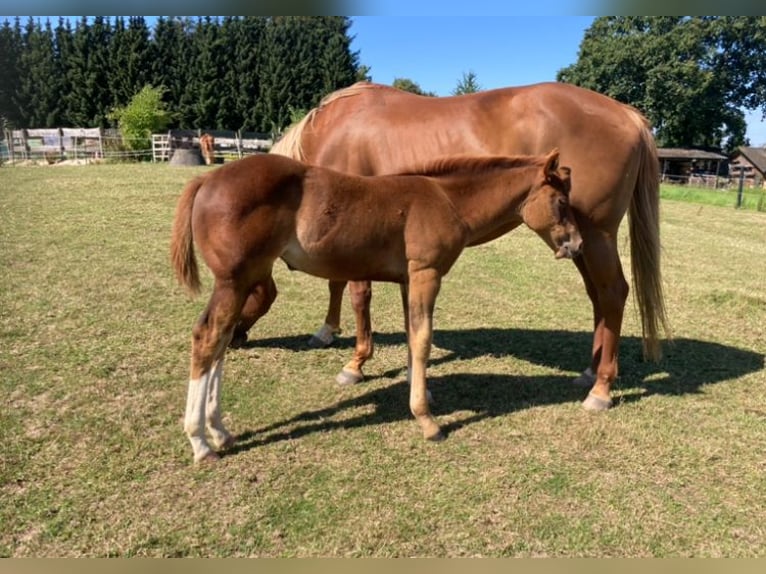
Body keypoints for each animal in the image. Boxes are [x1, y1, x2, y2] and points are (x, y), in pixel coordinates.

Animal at [172, 152, 584, 464]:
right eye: (562, 203)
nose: (577, 244)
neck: (447, 200)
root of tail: (206, 180)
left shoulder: (407, 280)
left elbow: (412, 337)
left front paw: (422, 395)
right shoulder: (425, 274)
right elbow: (423, 338)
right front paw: (427, 420)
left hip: (242, 282)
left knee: (222, 341)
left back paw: (220, 431)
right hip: (234, 281)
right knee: (208, 338)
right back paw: (200, 442)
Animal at [262, 82, 672, 414]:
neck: (332, 132)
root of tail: (627, 114)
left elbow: (357, 294)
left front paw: (355, 363)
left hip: (597, 235)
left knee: (613, 292)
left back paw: (601, 390)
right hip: (580, 244)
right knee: (598, 295)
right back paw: (590, 372)